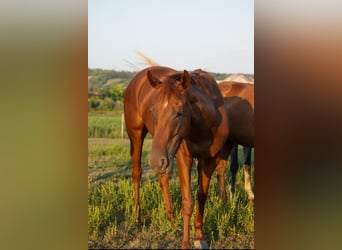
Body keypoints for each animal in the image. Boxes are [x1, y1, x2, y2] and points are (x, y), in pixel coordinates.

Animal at [123, 65, 227, 249]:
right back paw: (137, 216)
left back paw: (170, 216)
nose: (155, 161)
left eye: (179, 113)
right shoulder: (183, 157)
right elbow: (187, 202)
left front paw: (200, 236)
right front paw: (186, 243)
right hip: (137, 137)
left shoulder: (209, 159)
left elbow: (202, 196)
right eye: (153, 111)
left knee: (163, 178)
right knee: (137, 174)